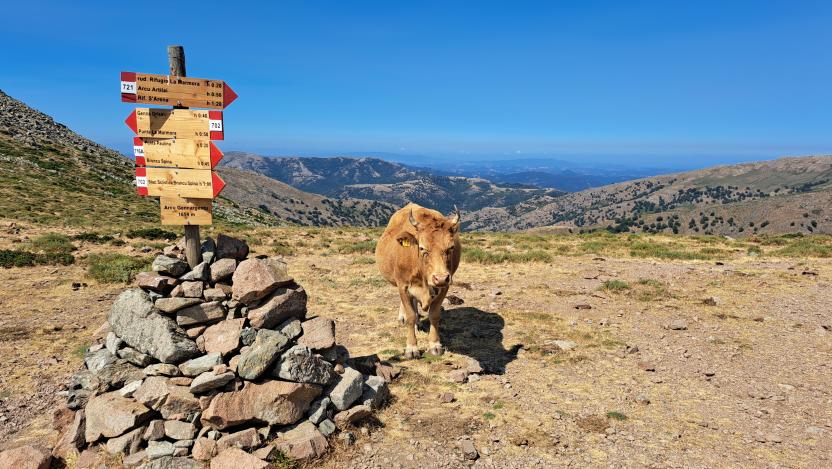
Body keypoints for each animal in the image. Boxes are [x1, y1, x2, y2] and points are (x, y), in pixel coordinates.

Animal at [376, 202, 462, 358]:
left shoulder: (444, 287)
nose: (440, 278)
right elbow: (409, 315)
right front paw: (411, 348)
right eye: (422, 248)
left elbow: (434, 315)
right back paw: (404, 318)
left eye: (451, 247)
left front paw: (435, 345)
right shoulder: (403, 286)